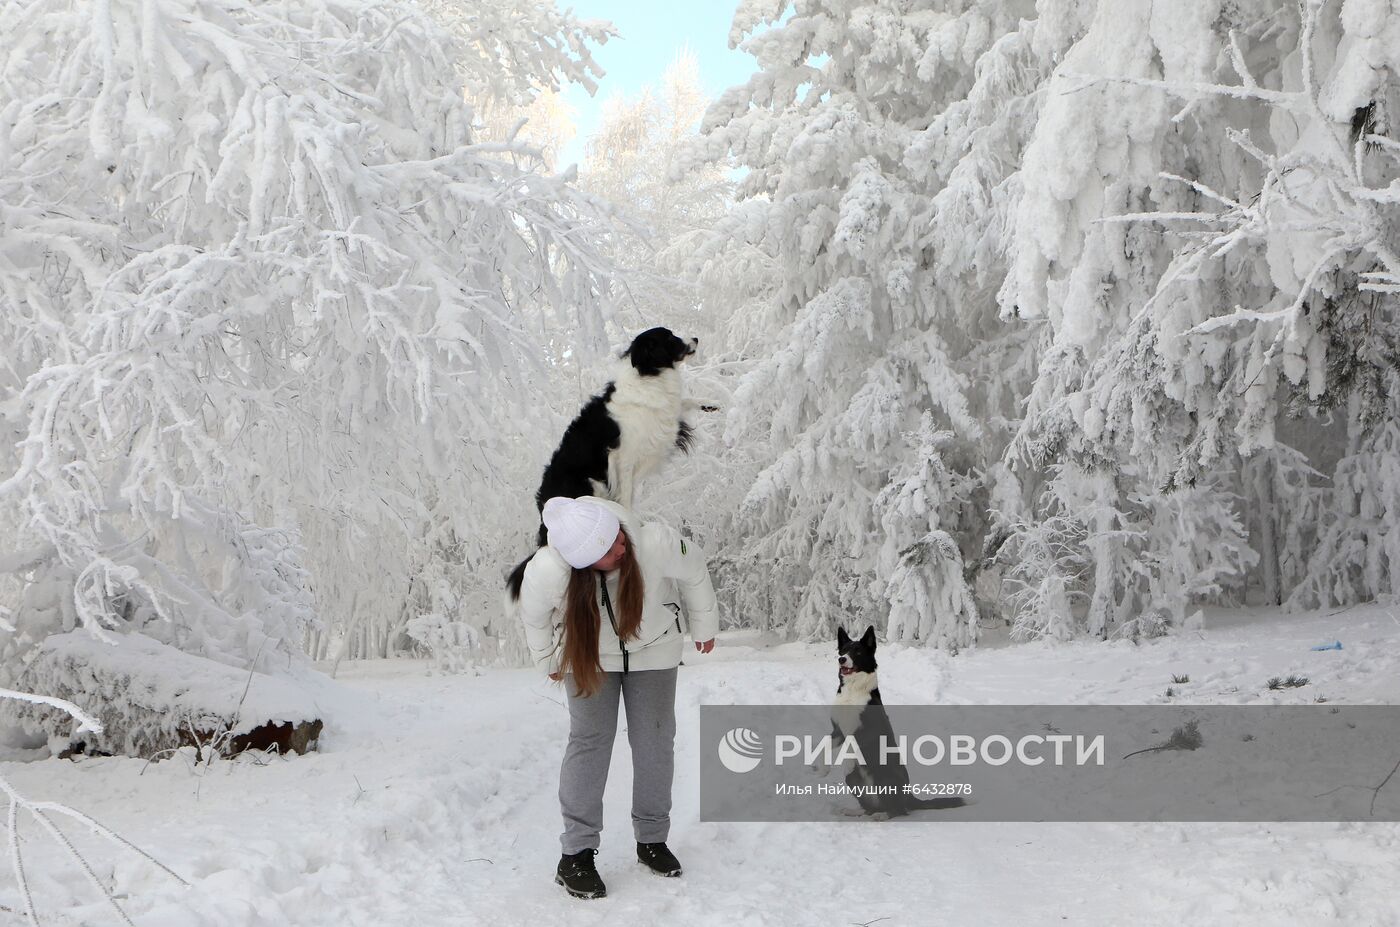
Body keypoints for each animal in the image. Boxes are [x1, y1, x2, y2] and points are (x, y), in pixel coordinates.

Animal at [823, 627, 968, 817]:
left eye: (858, 651)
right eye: (843, 651)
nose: (841, 659)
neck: (853, 691)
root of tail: (909, 794)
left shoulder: (870, 729)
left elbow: (852, 746)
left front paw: (846, 764)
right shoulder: (838, 730)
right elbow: (825, 743)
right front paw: (819, 766)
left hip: (886, 778)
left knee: (899, 809)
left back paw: (883, 815)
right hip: (854, 780)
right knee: (872, 807)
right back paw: (857, 811)